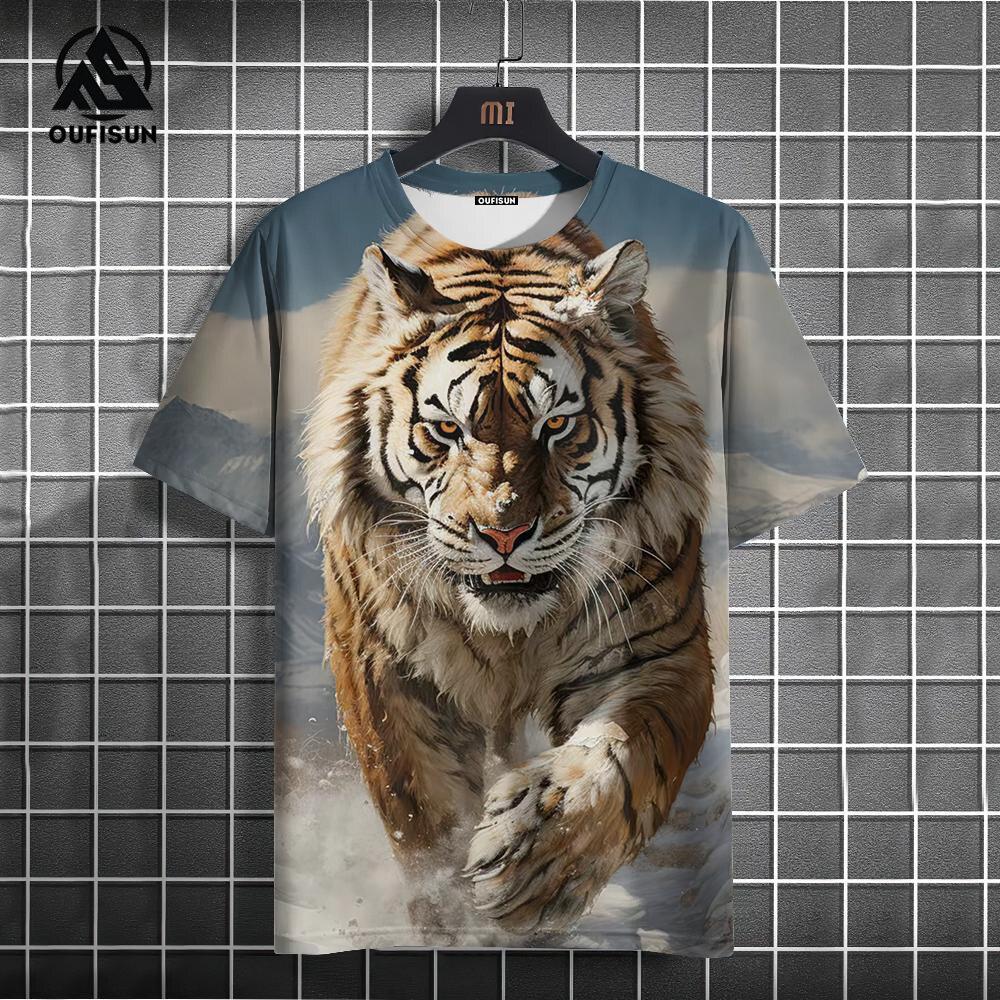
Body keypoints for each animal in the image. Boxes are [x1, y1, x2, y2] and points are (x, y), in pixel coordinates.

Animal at [300, 214, 715, 935]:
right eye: (446, 429)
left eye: (559, 425)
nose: (502, 534)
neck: (509, 636)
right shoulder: (381, 662)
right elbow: (426, 816)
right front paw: (457, 919)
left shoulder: (661, 652)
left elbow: (620, 758)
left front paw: (536, 863)